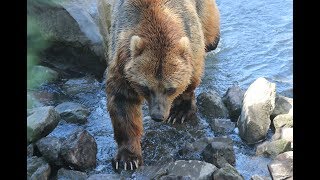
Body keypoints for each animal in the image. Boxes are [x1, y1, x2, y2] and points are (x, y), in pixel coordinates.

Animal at [106, 0, 219, 170]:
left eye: (170, 89)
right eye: (145, 87)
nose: (158, 116)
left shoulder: (191, 35)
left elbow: (192, 75)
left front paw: (179, 112)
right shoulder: (121, 58)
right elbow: (123, 102)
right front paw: (128, 158)